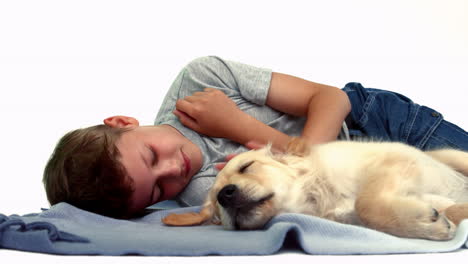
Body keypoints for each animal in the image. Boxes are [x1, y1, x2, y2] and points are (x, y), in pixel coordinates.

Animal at [162, 138, 468, 241]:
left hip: (452, 155)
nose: (225, 195)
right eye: (215, 204)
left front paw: (426, 223)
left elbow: (366, 202)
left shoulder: (395, 161)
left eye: (246, 166)